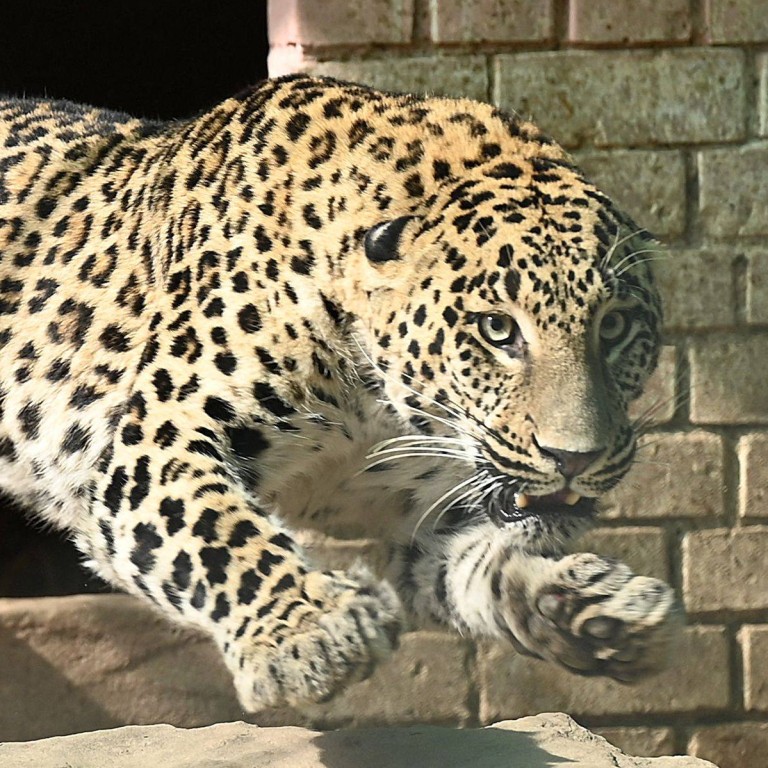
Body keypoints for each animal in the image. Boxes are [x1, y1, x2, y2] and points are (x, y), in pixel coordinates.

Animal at [0, 74, 677, 710]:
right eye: (497, 329)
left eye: (614, 326)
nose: (575, 458)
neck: (373, 405)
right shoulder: (155, 436)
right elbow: (215, 526)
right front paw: (307, 631)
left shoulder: (419, 511)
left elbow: (478, 562)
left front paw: (595, 606)